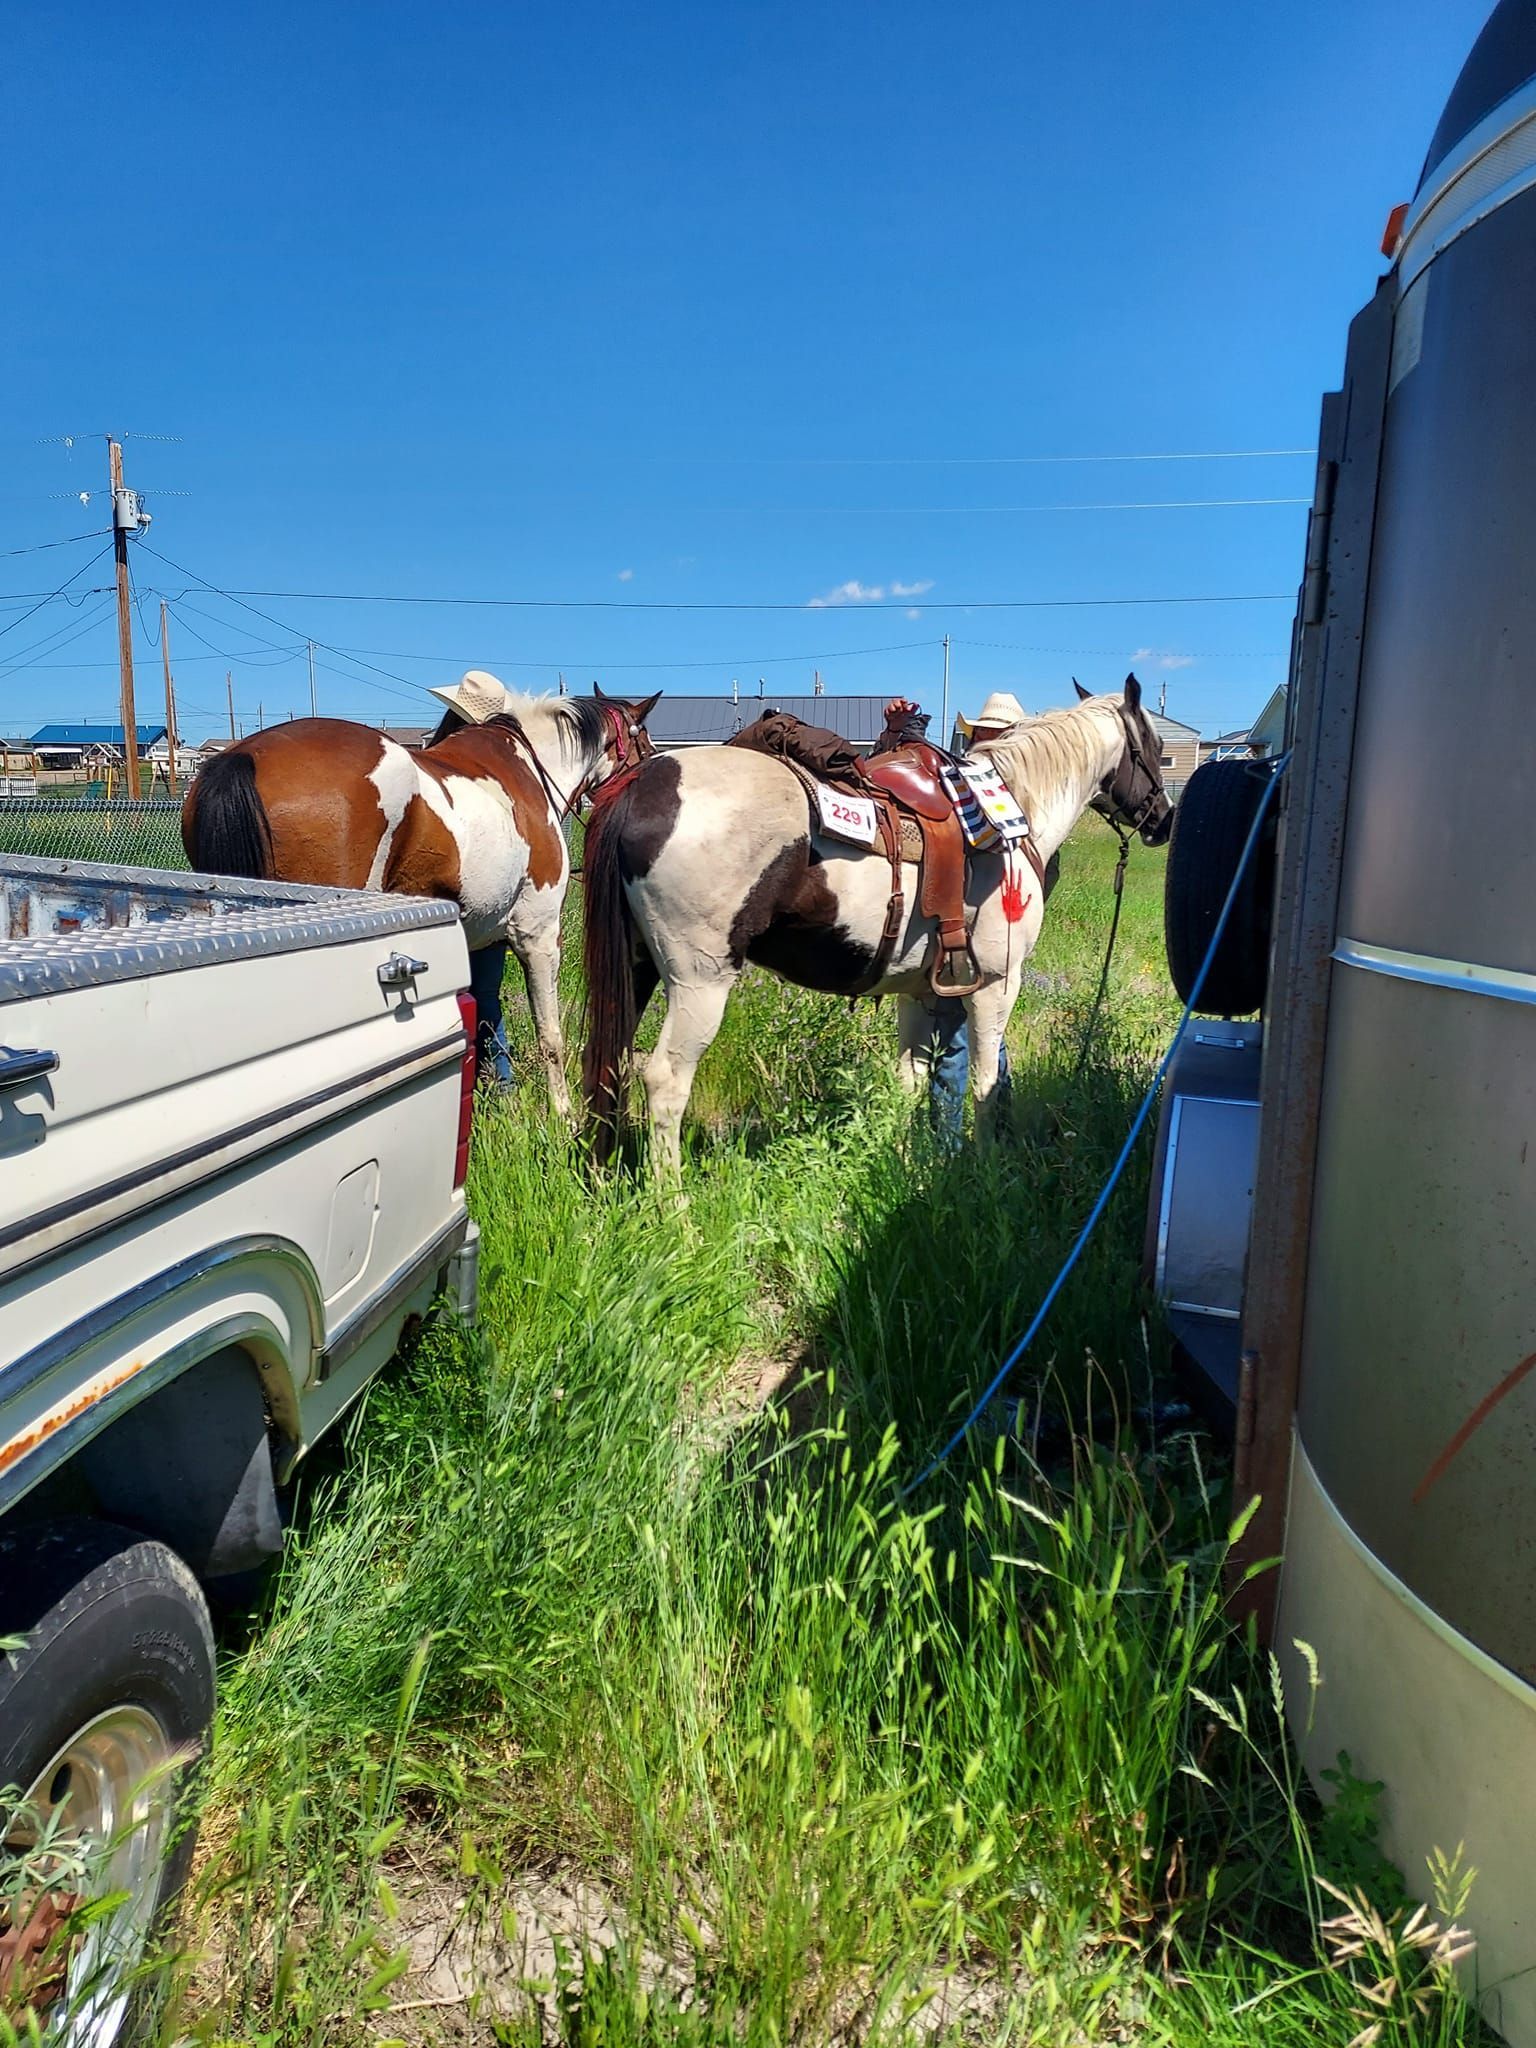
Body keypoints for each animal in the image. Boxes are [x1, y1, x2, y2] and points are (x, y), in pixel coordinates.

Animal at [182, 683, 658, 1114]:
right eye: (644, 741)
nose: (650, 775)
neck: (529, 769)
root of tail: (244, 755)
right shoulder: (538, 936)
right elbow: (551, 1036)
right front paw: (562, 1114)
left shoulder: (480, 939)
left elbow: (486, 1018)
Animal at [580, 678, 1172, 1174]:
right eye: (1154, 746)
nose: (1164, 820)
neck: (1010, 811)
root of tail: (642, 784)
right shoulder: (996, 984)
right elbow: (986, 1080)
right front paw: (983, 1170)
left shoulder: (921, 990)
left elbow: (912, 1081)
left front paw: (902, 1161)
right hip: (699, 983)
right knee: (664, 1081)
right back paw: (673, 1208)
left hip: (636, 971)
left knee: (608, 1066)